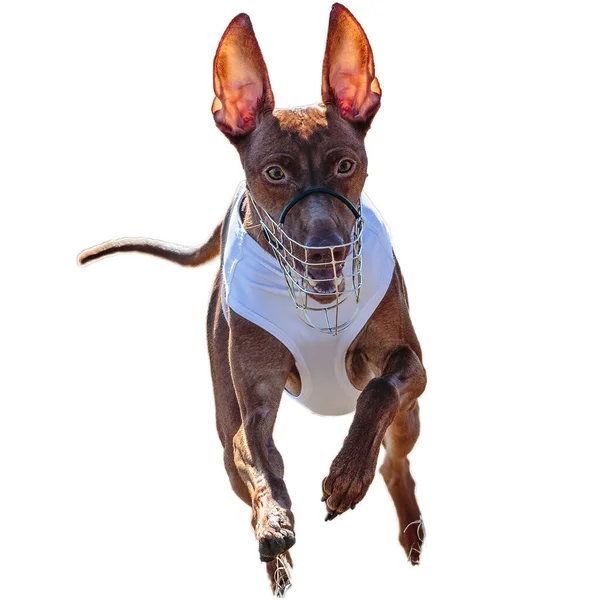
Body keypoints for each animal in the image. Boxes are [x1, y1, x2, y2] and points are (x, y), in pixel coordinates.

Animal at [78, 3, 426, 596]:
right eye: (275, 173)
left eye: (345, 165)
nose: (325, 251)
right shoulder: (253, 410)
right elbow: (259, 460)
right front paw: (275, 521)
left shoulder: (412, 365)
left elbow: (380, 388)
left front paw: (346, 474)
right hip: (225, 437)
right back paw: (277, 561)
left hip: (411, 418)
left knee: (393, 457)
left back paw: (408, 528)